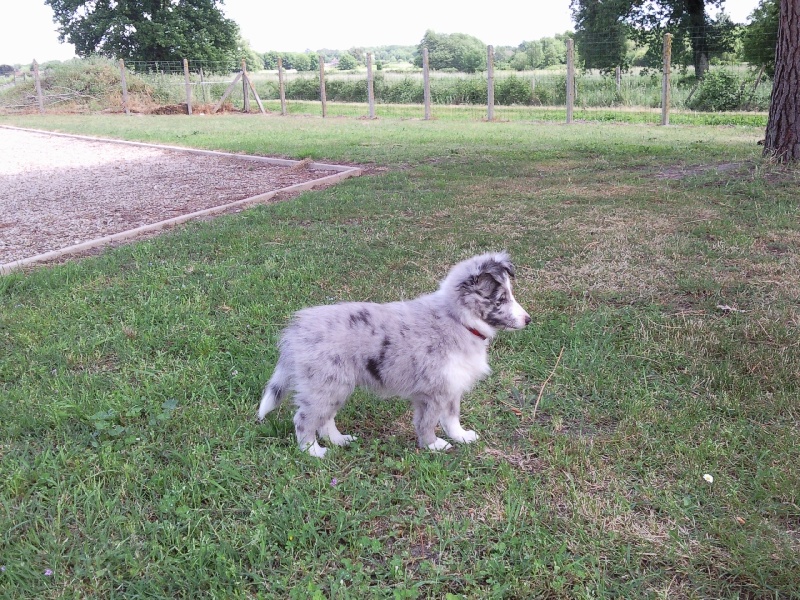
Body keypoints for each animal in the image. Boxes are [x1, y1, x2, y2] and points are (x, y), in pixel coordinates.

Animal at [257, 252, 531, 457]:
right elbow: (428, 421)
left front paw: (461, 437)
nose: (528, 320)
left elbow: (451, 417)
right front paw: (433, 445)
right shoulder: (434, 391)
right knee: (304, 419)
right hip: (325, 384)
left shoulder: (452, 384)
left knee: (325, 419)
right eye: (501, 299)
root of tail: (296, 330)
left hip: (335, 386)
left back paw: (339, 440)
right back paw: (313, 451)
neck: (458, 319)